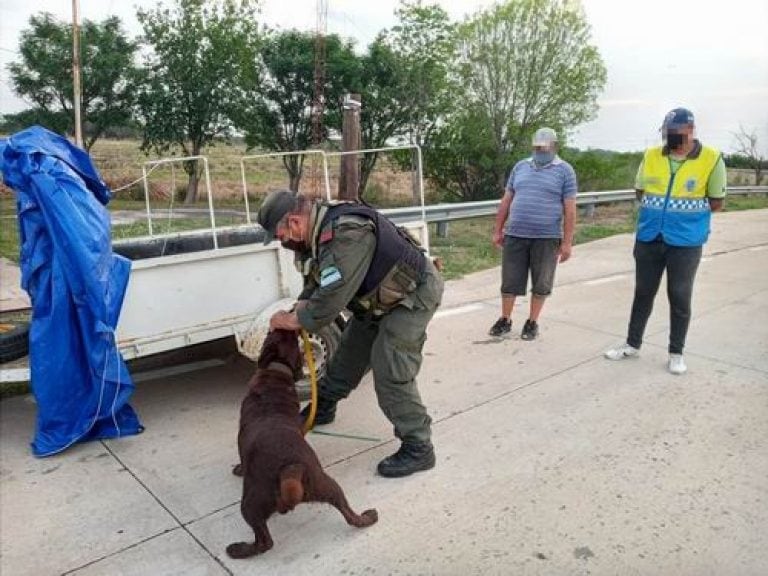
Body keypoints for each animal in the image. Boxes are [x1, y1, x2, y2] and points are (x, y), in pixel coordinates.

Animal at [225, 328, 378, 560]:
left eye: (270, 333)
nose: (288, 325)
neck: (277, 372)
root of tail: (291, 467)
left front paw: (239, 469)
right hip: (327, 484)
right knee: (349, 513)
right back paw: (368, 517)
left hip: (251, 503)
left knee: (264, 541)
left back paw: (239, 550)